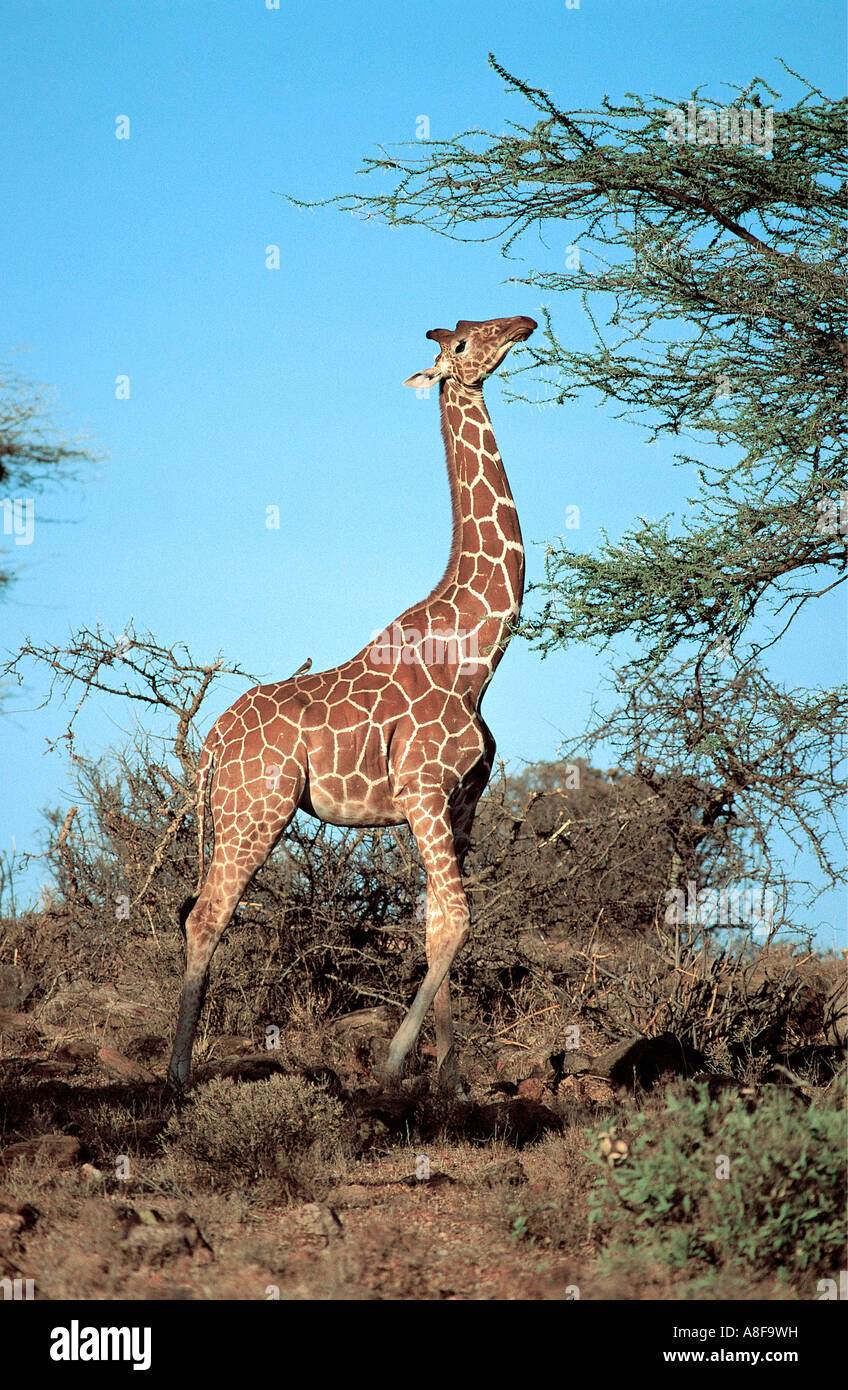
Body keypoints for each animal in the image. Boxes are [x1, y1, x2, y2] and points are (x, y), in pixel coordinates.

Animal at [166, 314, 537, 1096]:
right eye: (465, 343)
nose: (524, 323)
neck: (480, 654)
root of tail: (211, 744)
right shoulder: (423, 789)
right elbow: (457, 921)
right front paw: (395, 1067)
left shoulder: (461, 801)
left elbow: (437, 923)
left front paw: (451, 1080)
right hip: (256, 809)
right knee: (206, 915)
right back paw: (179, 1071)